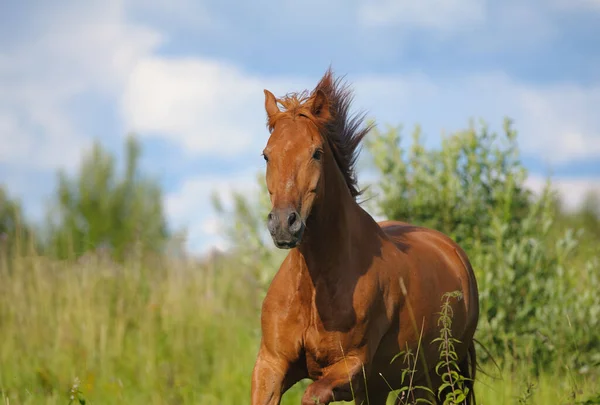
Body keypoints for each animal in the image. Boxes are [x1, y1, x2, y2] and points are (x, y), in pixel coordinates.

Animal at [248, 69, 478, 404]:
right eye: (267, 155)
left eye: (316, 153)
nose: (283, 224)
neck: (314, 288)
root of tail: (453, 252)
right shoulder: (271, 364)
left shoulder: (351, 367)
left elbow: (311, 395)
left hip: (438, 375)